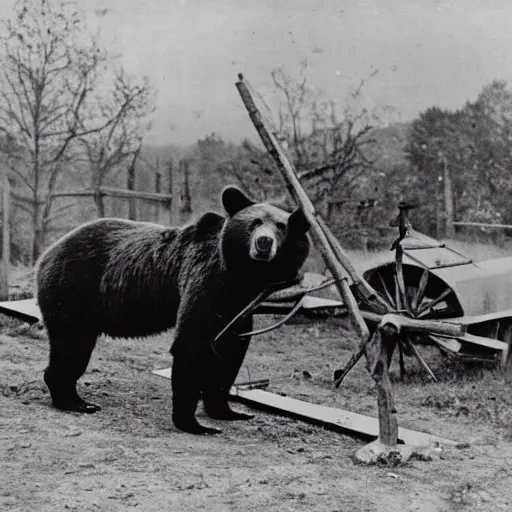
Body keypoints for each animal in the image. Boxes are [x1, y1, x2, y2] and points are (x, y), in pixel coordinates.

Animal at [37, 186, 308, 434]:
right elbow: (191, 344)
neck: (241, 280)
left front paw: (227, 411)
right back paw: (75, 402)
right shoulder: (204, 281)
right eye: (255, 223)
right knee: (71, 346)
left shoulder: (238, 310)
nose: (264, 242)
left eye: (282, 227)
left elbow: (229, 353)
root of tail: (47, 253)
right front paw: (194, 424)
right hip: (72, 292)